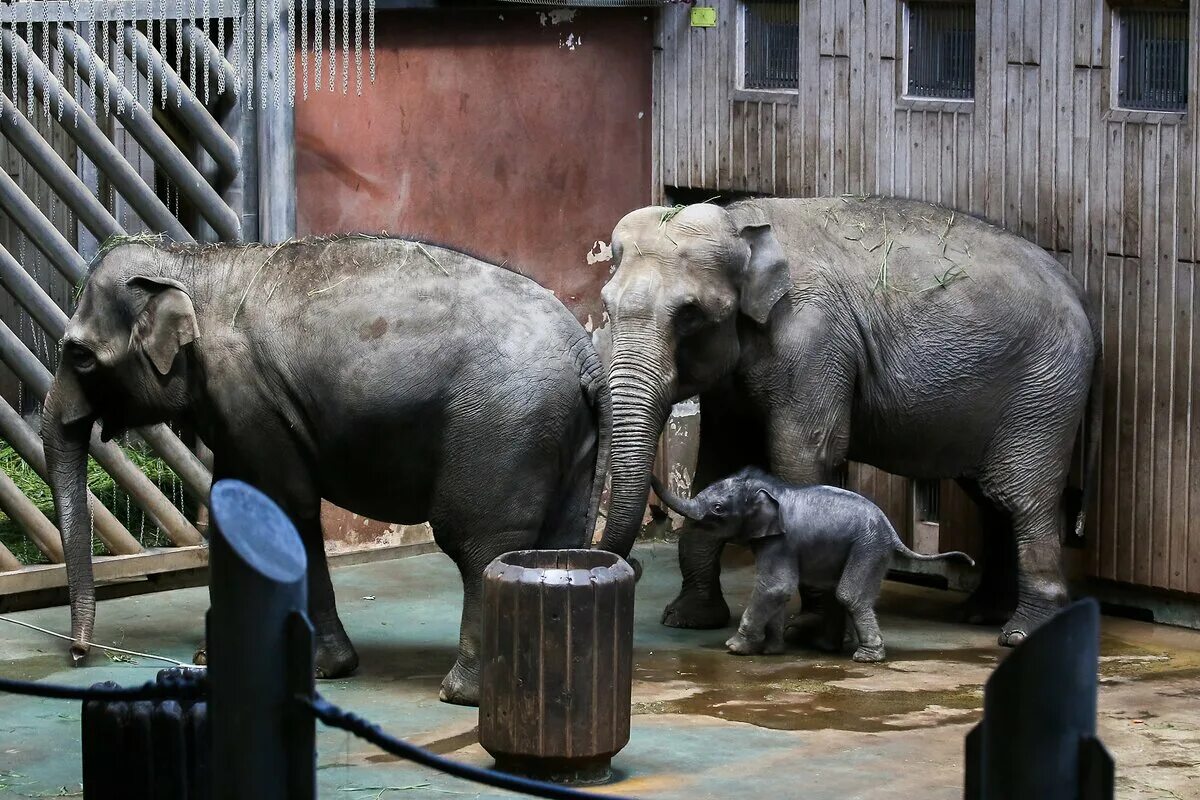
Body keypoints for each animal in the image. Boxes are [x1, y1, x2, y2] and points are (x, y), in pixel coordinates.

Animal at [648, 470, 974, 662]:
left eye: (718, 509)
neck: (769, 488)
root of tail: (892, 532)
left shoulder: (781, 541)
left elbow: (776, 587)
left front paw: (735, 647)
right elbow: (778, 591)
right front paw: (772, 650)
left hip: (868, 547)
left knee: (848, 594)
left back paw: (865, 657)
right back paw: (830, 646)